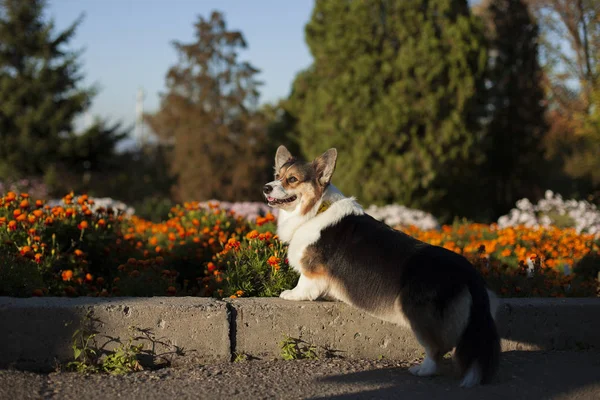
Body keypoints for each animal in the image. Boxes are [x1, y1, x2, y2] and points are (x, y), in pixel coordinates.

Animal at [262, 146, 502, 388]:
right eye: (277, 176)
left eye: (292, 179)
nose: (266, 188)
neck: (315, 209)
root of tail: (468, 271)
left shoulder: (312, 271)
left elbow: (304, 284)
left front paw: (292, 294)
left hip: (416, 311)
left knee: (436, 347)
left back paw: (423, 370)